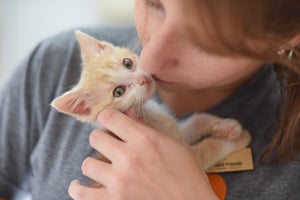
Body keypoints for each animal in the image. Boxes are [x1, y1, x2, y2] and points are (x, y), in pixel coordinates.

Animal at [51, 30, 251, 171]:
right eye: (118, 92)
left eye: (127, 63)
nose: (143, 79)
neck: (147, 112)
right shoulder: (184, 157)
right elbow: (210, 147)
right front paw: (237, 140)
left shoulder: (177, 133)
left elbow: (197, 120)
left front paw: (225, 126)